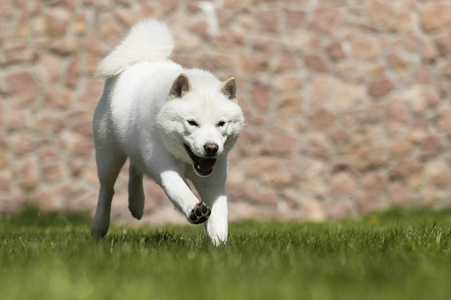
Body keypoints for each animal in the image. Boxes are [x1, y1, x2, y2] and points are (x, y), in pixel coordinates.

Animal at [90, 18, 245, 245]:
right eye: (192, 123)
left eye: (221, 124)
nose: (211, 148)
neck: (187, 162)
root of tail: (141, 60)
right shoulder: (163, 164)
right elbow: (179, 189)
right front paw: (194, 209)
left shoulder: (213, 179)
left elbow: (219, 212)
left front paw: (219, 241)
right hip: (108, 156)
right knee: (107, 189)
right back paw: (99, 226)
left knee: (135, 169)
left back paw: (136, 205)